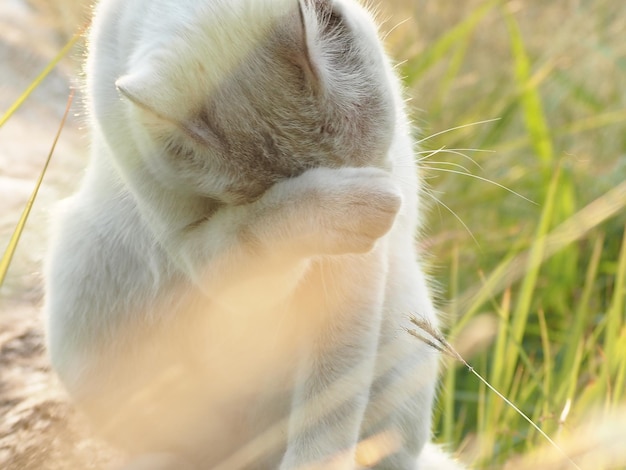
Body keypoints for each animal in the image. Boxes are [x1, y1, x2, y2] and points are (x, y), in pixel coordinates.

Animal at [44, 0, 464, 468]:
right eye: (260, 191)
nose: (386, 194)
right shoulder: (204, 255)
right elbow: (265, 226)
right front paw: (351, 204)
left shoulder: (353, 277)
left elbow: (327, 409)